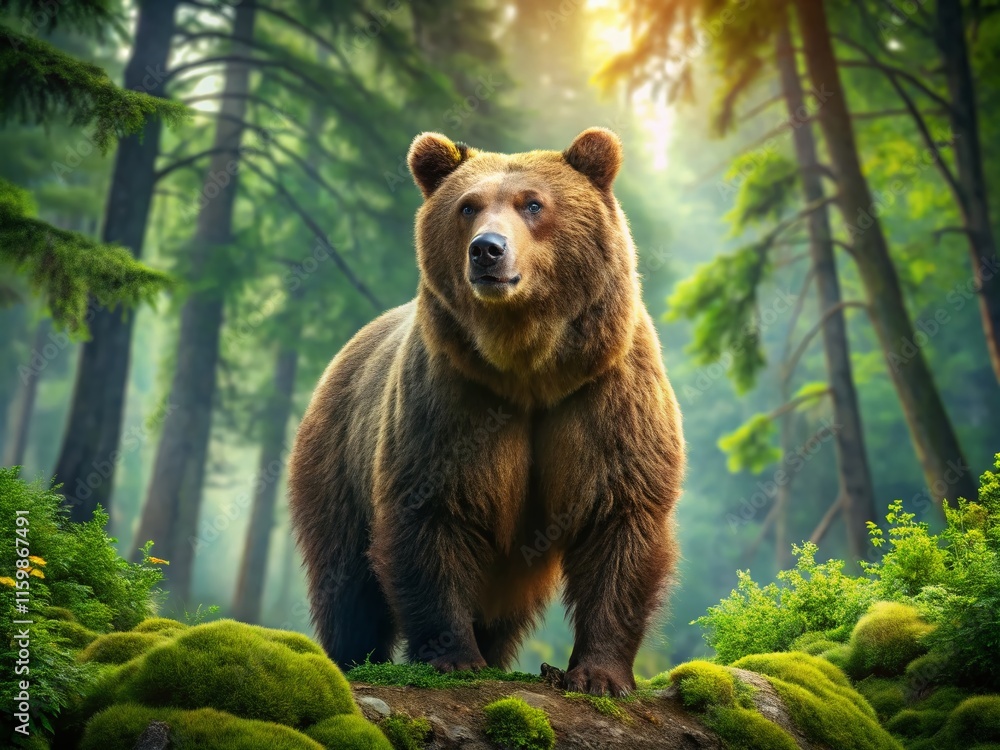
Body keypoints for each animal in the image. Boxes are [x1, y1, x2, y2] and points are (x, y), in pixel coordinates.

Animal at [288, 128, 684, 697]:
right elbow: (433, 513)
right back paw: (353, 656)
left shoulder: (604, 396)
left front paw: (599, 675)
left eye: (533, 203)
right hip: (337, 455)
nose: (487, 250)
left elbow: (618, 518)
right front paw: (454, 658)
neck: (530, 369)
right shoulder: (455, 399)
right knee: (345, 575)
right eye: (467, 206)